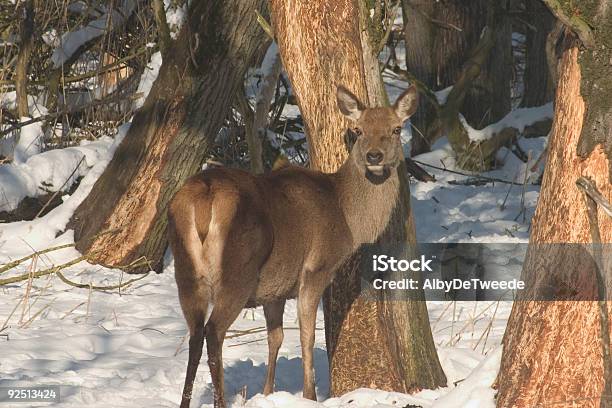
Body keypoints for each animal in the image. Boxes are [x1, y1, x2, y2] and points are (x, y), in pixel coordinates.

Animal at [165, 83, 418, 408]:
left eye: (396, 129)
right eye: (359, 130)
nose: (375, 156)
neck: (347, 217)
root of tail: (205, 196)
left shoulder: (274, 288)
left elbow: (276, 338)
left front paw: (267, 393)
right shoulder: (316, 268)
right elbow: (307, 335)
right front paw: (310, 395)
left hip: (185, 271)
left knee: (195, 334)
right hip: (237, 272)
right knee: (213, 332)